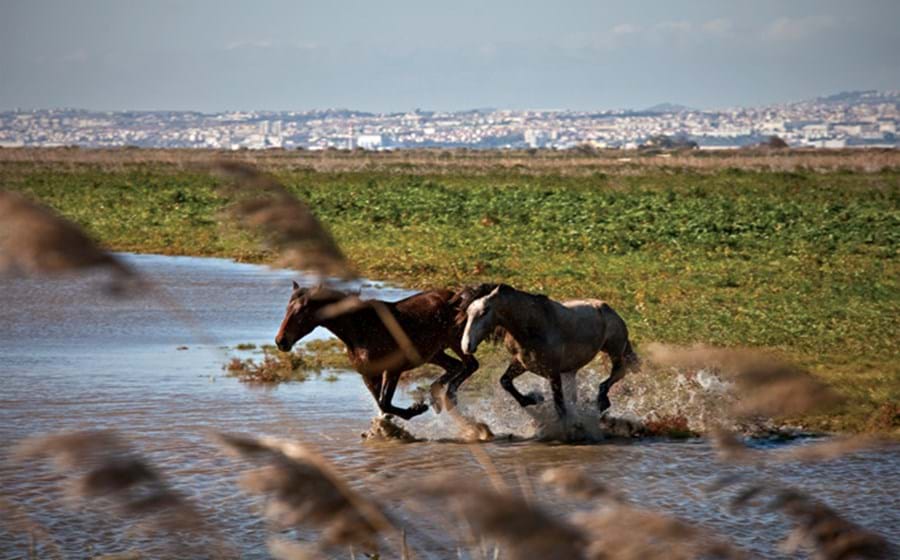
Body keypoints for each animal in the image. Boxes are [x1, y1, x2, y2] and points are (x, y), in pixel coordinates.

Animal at [274, 284, 482, 420]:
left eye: (302, 311)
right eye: (287, 309)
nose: (281, 341)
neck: (360, 330)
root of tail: (456, 296)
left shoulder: (393, 369)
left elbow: (385, 402)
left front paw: (416, 409)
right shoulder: (369, 375)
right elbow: (382, 404)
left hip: (457, 342)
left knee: (470, 365)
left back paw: (446, 397)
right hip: (434, 353)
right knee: (456, 367)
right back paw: (438, 395)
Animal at [454, 284, 636, 420]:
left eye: (484, 311)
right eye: (467, 312)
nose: (466, 346)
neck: (533, 327)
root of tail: (607, 308)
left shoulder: (552, 372)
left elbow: (560, 406)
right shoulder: (522, 363)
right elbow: (505, 381)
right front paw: (530, 399)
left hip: (614, 351)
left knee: (618, 372)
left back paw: (602, 401)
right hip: (572, 370)